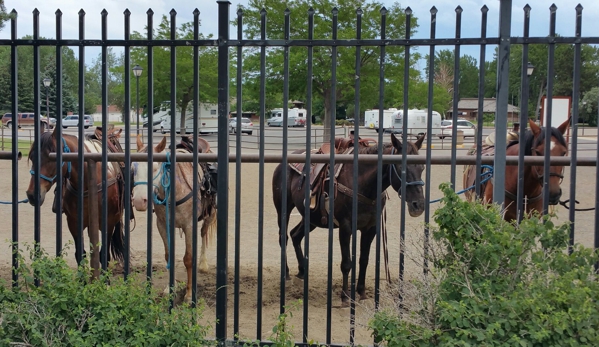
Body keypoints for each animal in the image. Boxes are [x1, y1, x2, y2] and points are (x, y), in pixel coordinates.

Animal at [24, 126, 126, 266]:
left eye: (52, 158)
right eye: (32, 157)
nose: (32, 195)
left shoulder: (109, 222)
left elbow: (104, 256)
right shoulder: (73, 223)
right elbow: (80, 254)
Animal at [131, 136, 218, 304]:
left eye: (155, 167)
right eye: (133, 168)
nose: (139, 201)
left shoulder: (189, 226)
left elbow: (188, 259)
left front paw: (189, 295)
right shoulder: (162, 225)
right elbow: (168, 256)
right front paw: (170, 289)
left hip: (209, 215)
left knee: (203, 233)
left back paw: (203, 264)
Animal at [272, 135, 426, 306]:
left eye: (422, 168)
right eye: (401, 168)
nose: (418, 205)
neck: (362, 183)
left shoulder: (370, 228)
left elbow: (363, 260)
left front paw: (361, 292)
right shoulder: (345, 228)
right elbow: (346, 263)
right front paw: (345, 296)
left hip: (311, 218)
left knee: (295, 235)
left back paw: (302, 271)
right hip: (283, 209)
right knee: (283, 237)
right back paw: (286, 273)